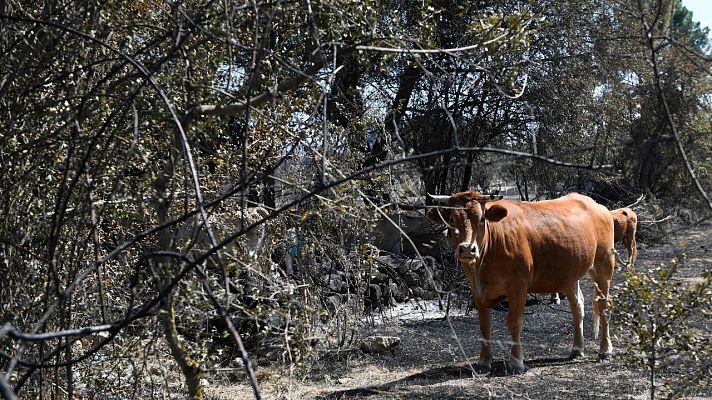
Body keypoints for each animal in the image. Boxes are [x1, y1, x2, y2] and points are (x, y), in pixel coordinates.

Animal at [428, 192, 616, 374]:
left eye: (482, 219)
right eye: (452, 220)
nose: (467, 249)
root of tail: (597, 205)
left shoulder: (518, 287)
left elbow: (514, 323)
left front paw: (517, 362)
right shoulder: (477, 291)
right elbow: (484, 327)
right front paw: (484, 362)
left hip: (604, 266)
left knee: (604, 308)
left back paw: (605, 351)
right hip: (569, 274)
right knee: (577, 307)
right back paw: (577, 349)